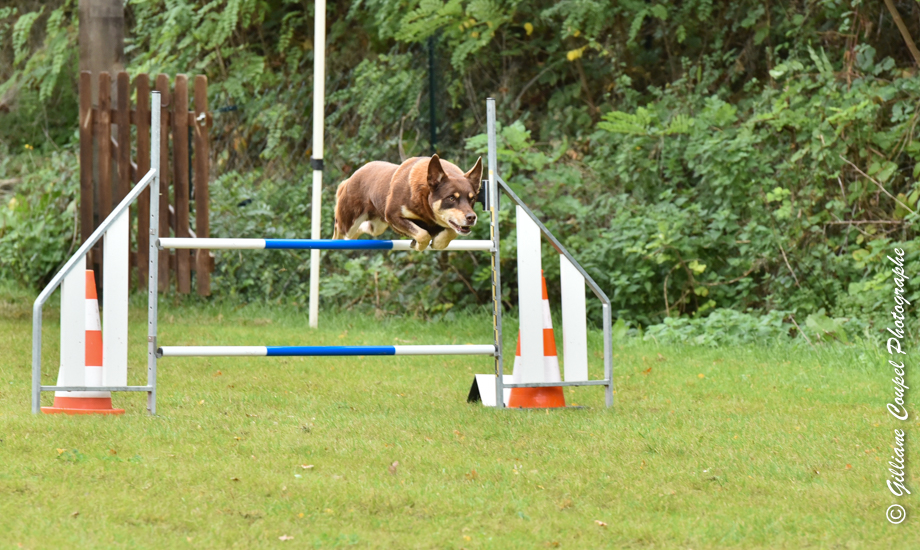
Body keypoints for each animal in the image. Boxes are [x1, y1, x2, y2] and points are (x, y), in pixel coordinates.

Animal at [333, 154, 482, 251]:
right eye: (451, 198)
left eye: (472, 198)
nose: (472, 217)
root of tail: (350, 179)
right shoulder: (393, 215)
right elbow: (423, 234)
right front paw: (419, 245)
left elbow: (451, 232)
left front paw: (438, 243)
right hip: (349, 222)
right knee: (339, 229)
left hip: (377, 225)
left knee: (363, 229)